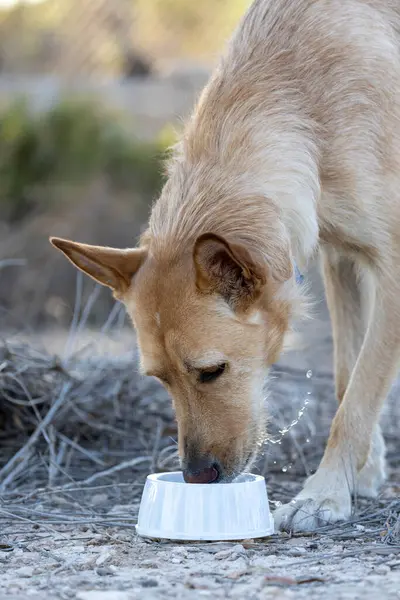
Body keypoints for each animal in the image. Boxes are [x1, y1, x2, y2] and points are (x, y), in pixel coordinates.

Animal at [50, 0, 400, 532]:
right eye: (160, 379)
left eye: (211, 371)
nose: (196, 477)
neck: (299, 110)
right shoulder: (343, 259)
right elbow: (348, 378)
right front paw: (362, 473)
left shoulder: (392, 268)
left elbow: (358, 398)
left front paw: (324, 493)